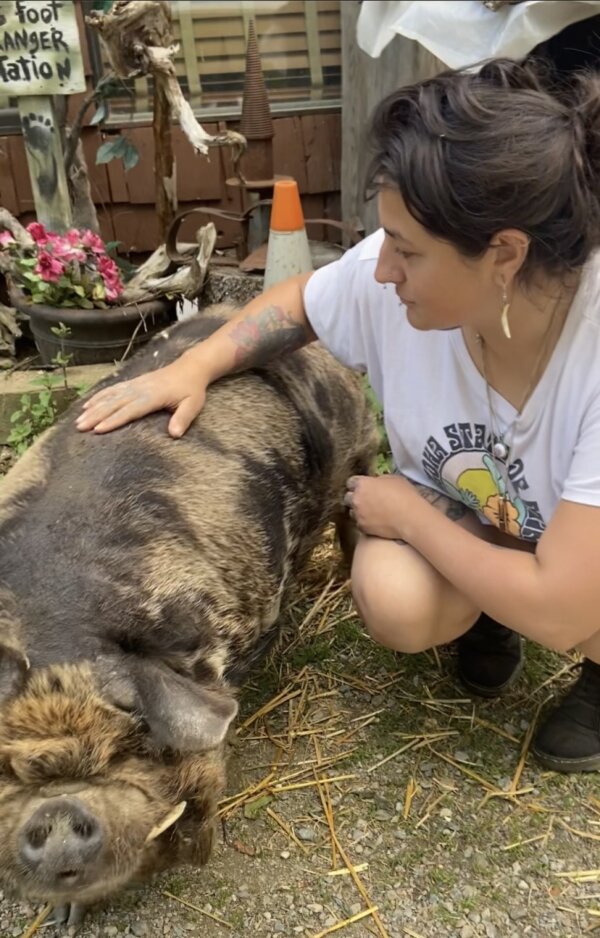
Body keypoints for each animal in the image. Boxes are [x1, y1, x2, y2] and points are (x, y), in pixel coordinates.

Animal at [0, 308, 377, 928]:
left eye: (127, 742)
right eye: (10, 769)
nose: (53, 816)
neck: (51, 629)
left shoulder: (205, 659)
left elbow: (205, 772)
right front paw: (65, 919)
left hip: (363, 439)